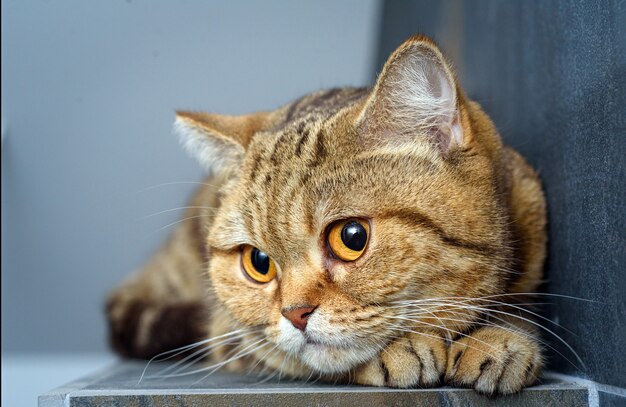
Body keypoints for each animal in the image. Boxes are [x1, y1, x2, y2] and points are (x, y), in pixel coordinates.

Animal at [108, 36, 544, 396]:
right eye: (259, 262)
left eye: (352, 237)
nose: (295, 315)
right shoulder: (231, 335)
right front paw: (399, 352)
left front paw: (499, 338)